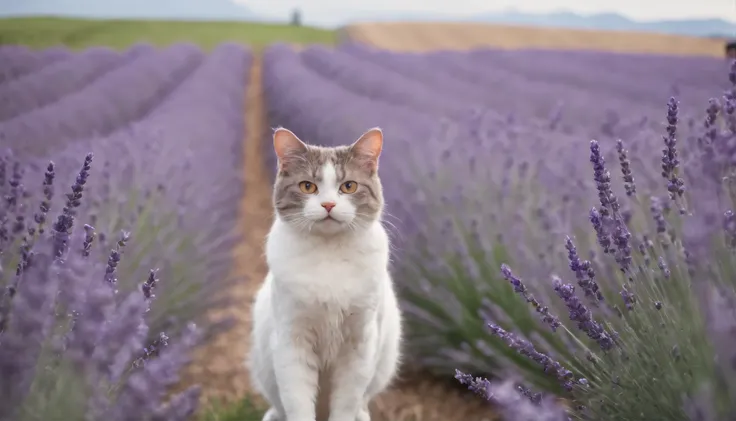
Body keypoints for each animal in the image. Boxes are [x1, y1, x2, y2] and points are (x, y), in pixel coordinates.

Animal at [250, 127, 406, 420]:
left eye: (349, 186)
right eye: (307, 186)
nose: (329, 205)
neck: (329, 252)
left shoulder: (360, 342)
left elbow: (346, 403)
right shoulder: (292, 341)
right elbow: (297, 403)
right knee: (279, 406)